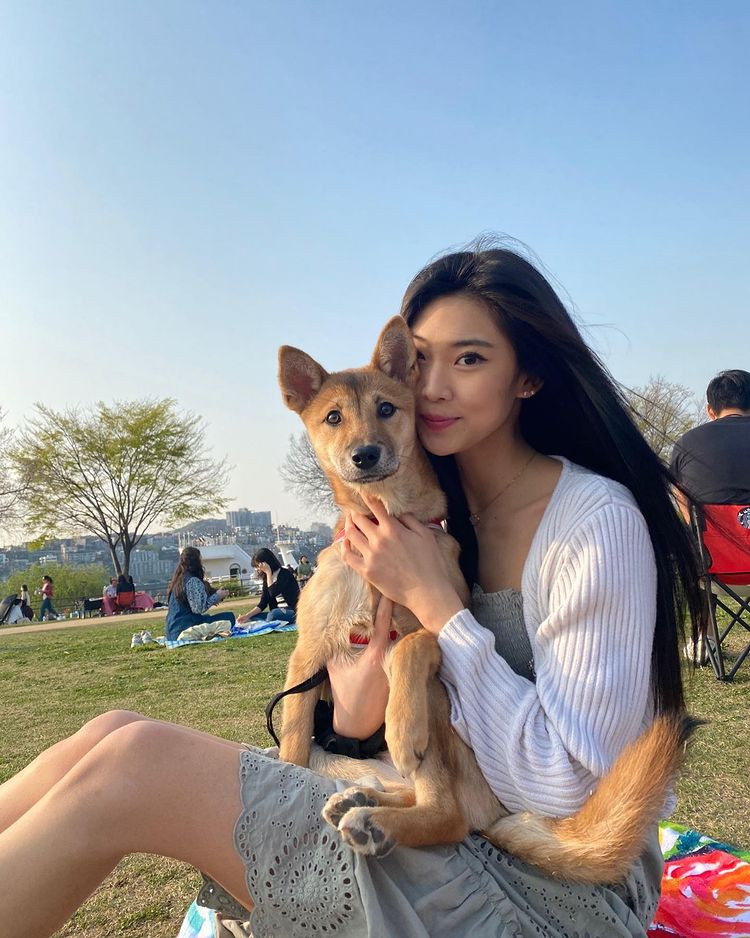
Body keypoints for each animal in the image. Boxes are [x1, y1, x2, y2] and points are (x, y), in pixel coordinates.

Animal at [276, 315, 694, 883]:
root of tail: (495, 813)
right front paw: (291, 767)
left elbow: (410, 647)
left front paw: (401, 729)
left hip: (440, 707)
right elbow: (295, 736)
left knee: (449, 815)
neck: (387, 517)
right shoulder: (308, 655)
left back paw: (378, 817)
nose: (365, 454)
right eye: (333, 417)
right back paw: (362, 798)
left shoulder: (435, 625)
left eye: (386, 409)